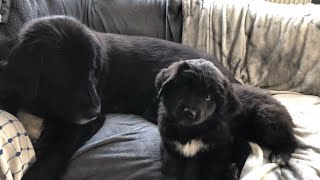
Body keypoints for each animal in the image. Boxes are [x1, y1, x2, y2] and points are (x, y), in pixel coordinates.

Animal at [155, 59, 298, 179]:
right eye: (184, 88)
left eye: (208, 97)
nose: (189, 113)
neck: (191, 130)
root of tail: (278, 103)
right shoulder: (171, 150)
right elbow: (172, 172)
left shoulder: (218, 152)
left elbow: (208, 173)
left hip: (266, 118)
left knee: (292, 140)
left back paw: (280, 155)